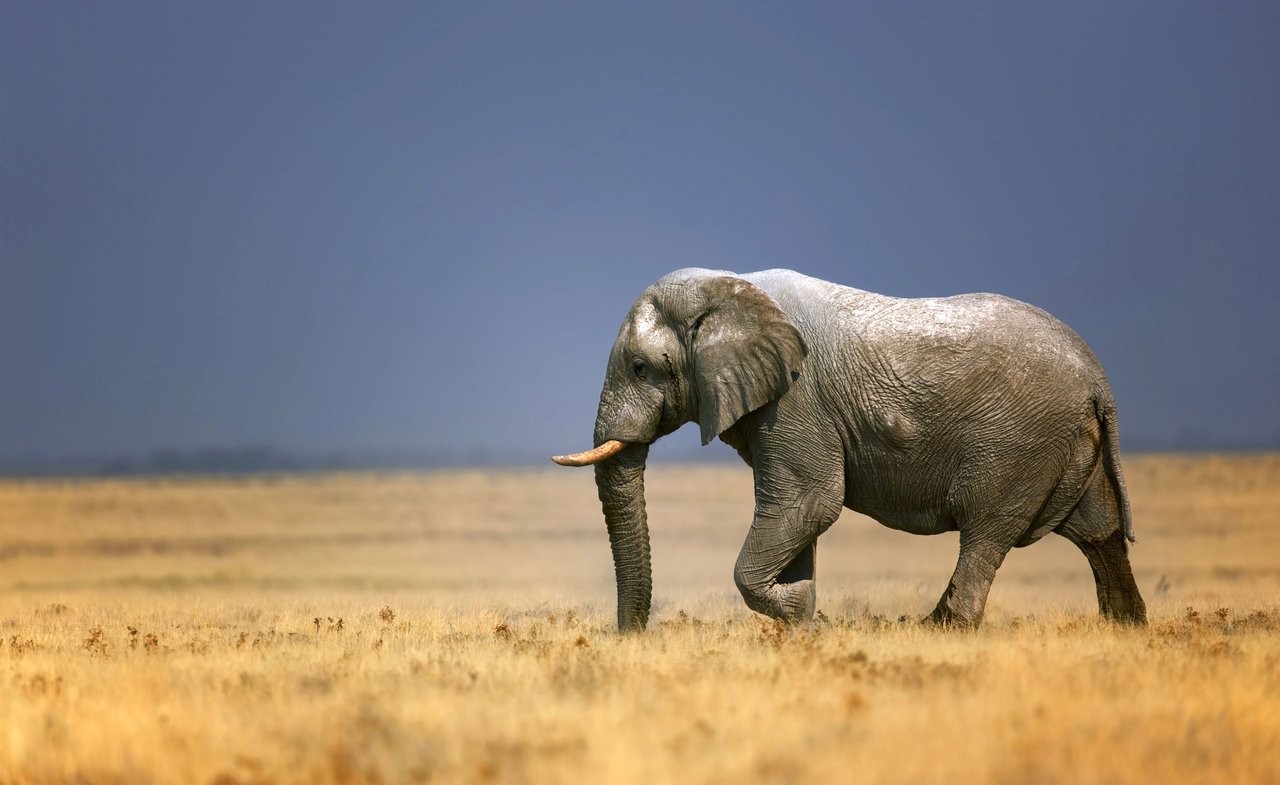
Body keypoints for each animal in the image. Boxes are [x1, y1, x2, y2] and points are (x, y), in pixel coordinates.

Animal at [552, 268, 1152, 630]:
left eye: (639, 367)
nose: (631, 640)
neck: (728, 289)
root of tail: (1098, 379)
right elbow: (799, 517)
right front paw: (803, 620)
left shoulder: (798, 398)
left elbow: (811, 503)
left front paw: (802, 615)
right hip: (1065, 441)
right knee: (1097, 532)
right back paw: (1124, 630)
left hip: (1017, 441)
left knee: (985, 531)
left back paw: (940, 631)